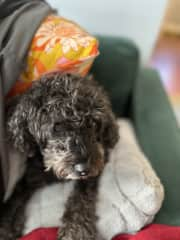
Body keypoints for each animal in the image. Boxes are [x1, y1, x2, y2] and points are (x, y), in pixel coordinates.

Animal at [0, 73, 119, 240]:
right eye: (57, 127)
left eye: (94, 123)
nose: (83, 168)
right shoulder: (32, 174)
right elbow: (17, 194)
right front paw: (6, 225)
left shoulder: (97, 164)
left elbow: (82, 195)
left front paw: (75, 228)